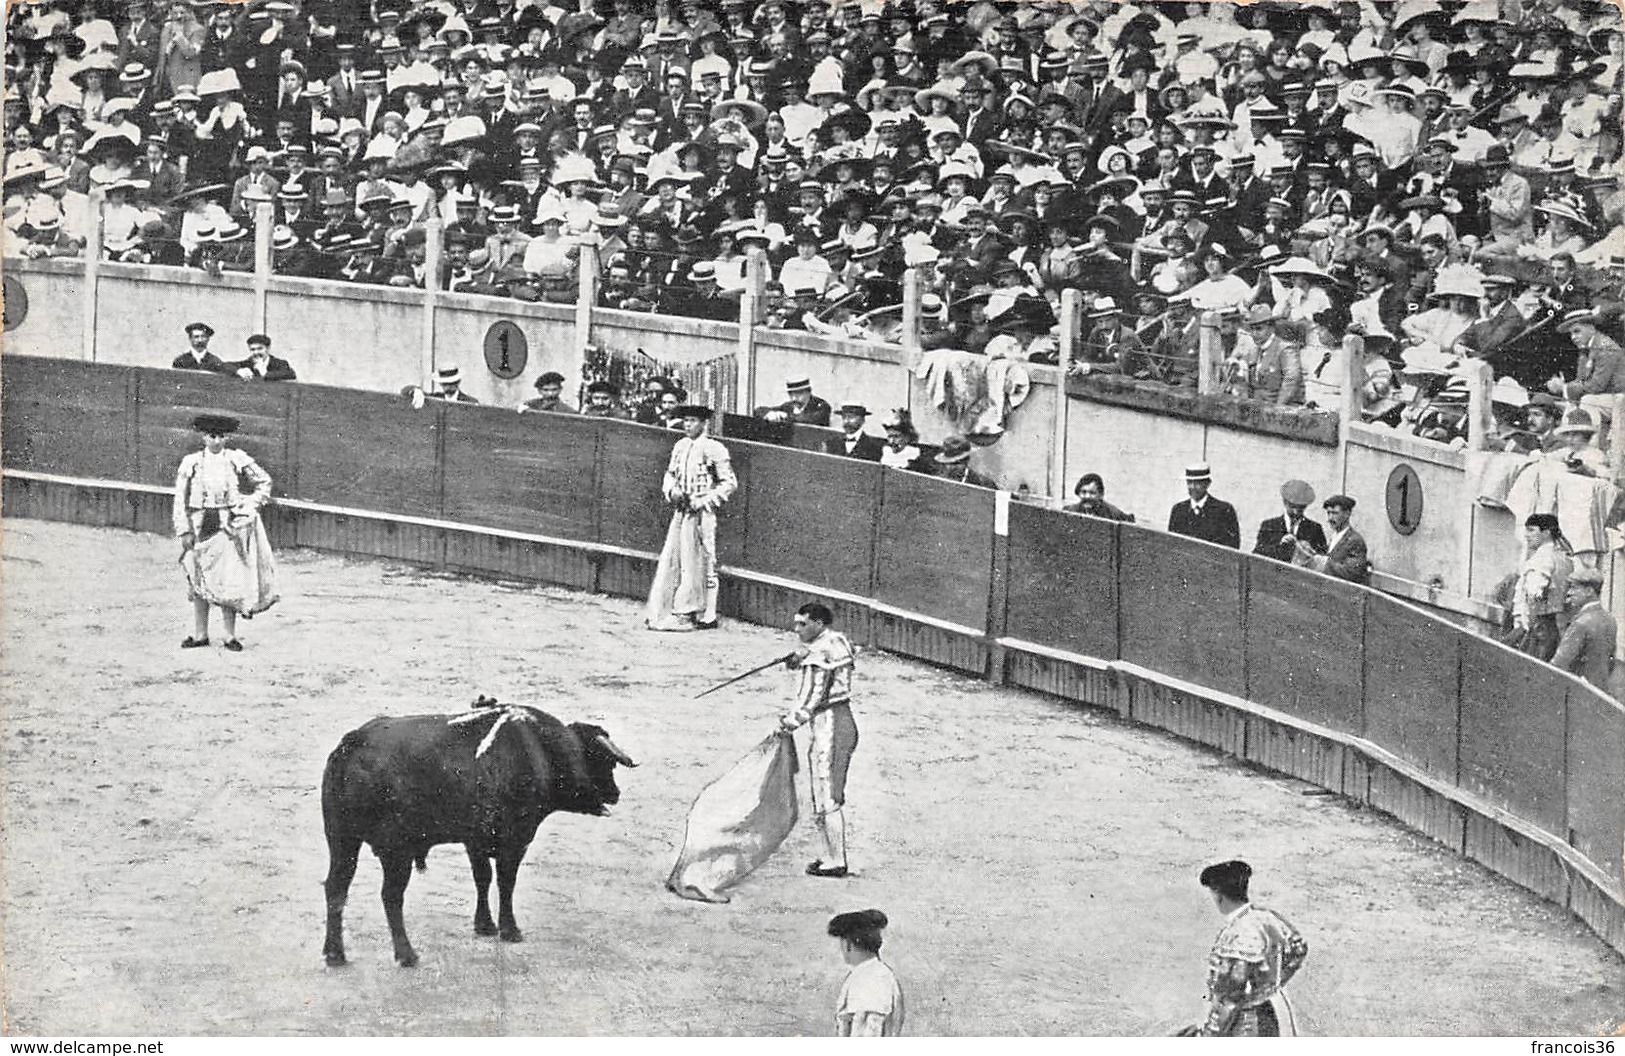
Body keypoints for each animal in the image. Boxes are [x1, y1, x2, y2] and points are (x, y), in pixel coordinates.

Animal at [320, 701, 637, 968]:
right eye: (606, 762)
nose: (616, 793)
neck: (540, 749)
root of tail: (354, 742)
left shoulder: (475, 841)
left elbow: (482, 878)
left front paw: (484, 925)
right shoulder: (516, 839)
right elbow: (506, 882)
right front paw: (510, 929)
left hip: (342, 840)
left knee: (336, 888)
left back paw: (335, 954)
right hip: (395, 851)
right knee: (390, 896)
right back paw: (406, 954)